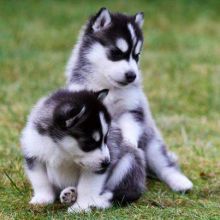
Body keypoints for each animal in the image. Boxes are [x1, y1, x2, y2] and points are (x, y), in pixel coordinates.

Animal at [65, 7, 192, 192]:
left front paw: (128, 144)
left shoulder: (132, 108)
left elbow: (130, 128)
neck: (108, 87)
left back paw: (180, 182)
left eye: (137, 56)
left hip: (152, 145)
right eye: (116, 53)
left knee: (165, 164)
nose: (132, 75)